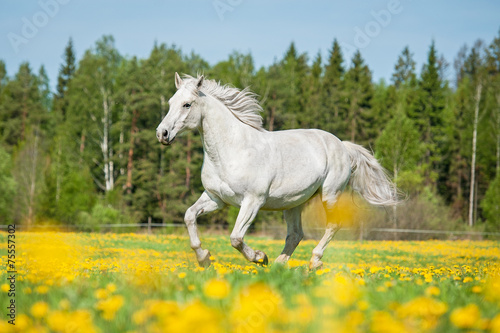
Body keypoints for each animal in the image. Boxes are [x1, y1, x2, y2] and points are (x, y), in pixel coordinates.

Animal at [156, 72, 398, 268]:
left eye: (187, 104)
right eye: (170, 102)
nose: (162, 133)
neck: (232, 151)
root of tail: (342, 145)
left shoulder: (253, 201)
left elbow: (236, 237)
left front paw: (260, 257)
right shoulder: (216, 199)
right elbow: (189, 216)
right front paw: (204, 258)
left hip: (330, 194)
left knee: (332, 225)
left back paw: (314, 261)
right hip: (293, 203)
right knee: (295, 234)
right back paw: (280, 265)